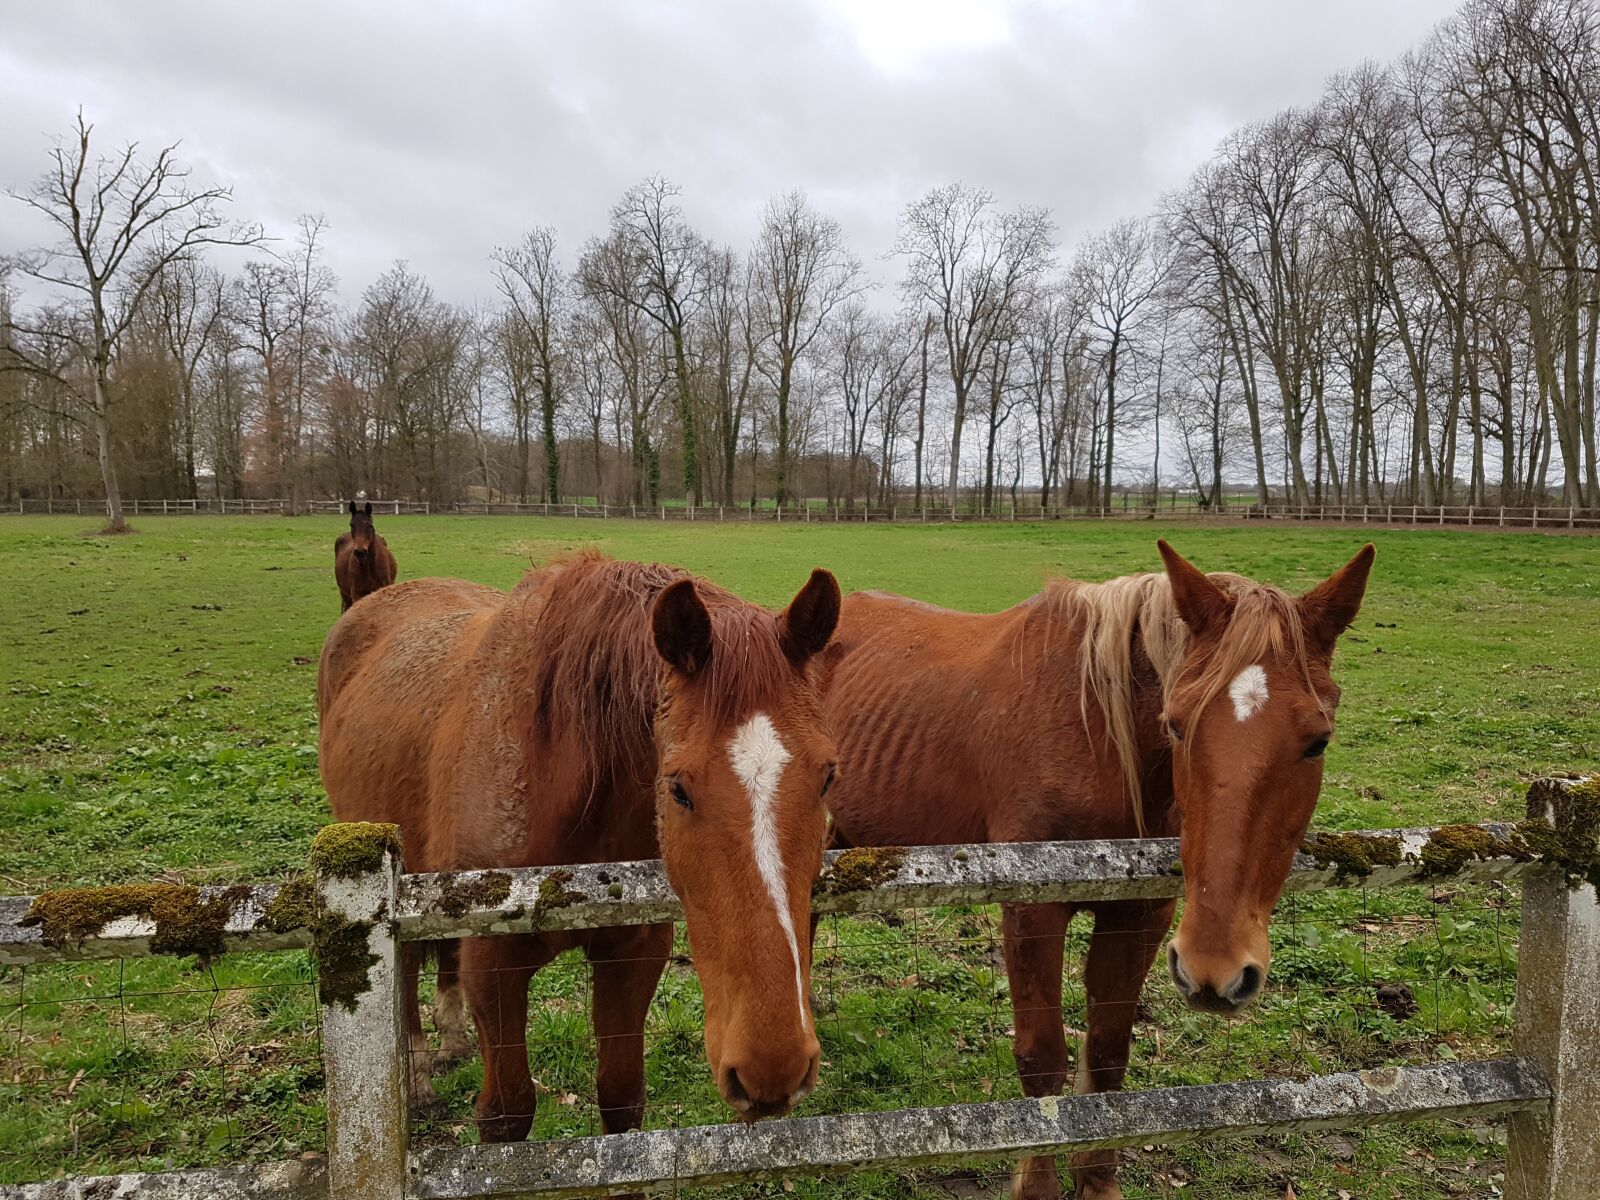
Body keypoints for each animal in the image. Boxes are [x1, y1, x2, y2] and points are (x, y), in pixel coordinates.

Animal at [312, 553, 838, 1145]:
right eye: (677, 787)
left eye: (828, 775)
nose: (774, 1065)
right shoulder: (493, 964)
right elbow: (507, 1114)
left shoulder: (632, 954)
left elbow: (621, 1098)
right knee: (401, 974)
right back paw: (418, 1077)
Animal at [825, 544, 1376, 1200]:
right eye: (1176, 724)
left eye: (1318, 741)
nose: (1216, 968)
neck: (1101, 738)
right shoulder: (1032, 910)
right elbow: (1042, 1062)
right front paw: (1035, 1186)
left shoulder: (1140, 915)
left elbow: (1108, 1054)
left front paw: (1097, 1180)